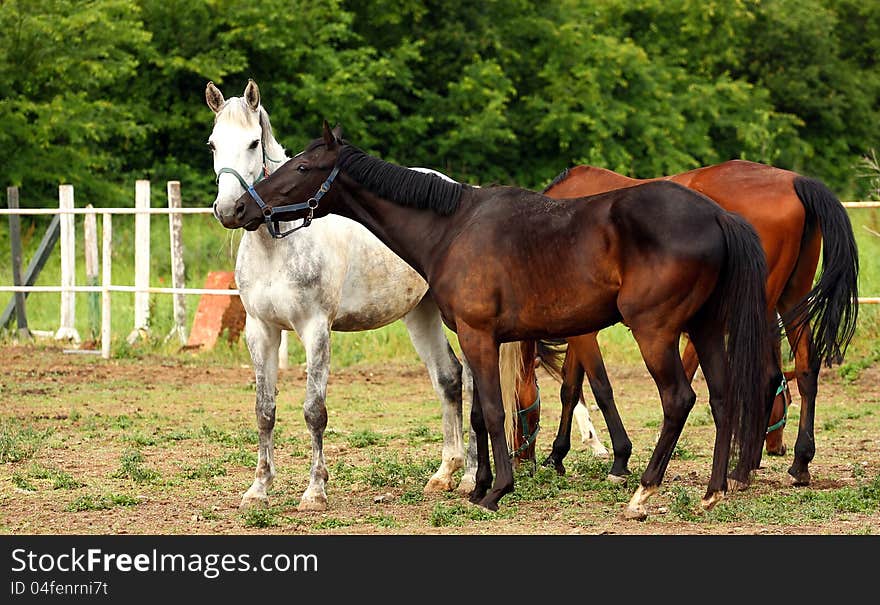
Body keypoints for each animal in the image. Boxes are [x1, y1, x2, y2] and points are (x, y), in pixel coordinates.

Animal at [204, 81, 478, 510]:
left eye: (253, 142)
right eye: (213, 144)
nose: (232, 209)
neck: (279, 245)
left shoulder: (316, 329)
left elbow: (314, 411)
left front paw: (315, 491)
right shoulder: (260, 330)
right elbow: (264, 410)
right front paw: (259, 489)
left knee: (471, 384)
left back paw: (469, 478)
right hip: (420, 313)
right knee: (448, 377)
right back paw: (444, 474)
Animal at [220, 124, 776, 520]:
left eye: (303, 166)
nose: (241, 207)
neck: (453, 225)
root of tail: (717, 214)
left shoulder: (478, 334)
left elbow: (489, 409)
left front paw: (496, 491)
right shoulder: (473, 338)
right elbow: (477, 412)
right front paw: (479, 484)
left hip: (656, 332)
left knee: (679, 400)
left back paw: (643, 494)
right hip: (705, 328)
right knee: (724, 398)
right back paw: (712, 493)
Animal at [508, 159, 860, 486]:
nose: (521, 460)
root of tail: (794, 181)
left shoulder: (584, 331)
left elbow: (599, 387)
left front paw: (619, 459)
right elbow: (570, 388)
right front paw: (557, 455)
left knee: (760, 377)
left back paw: (741, 469)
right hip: (790, 300)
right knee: (805, 368)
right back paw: (797, 462)